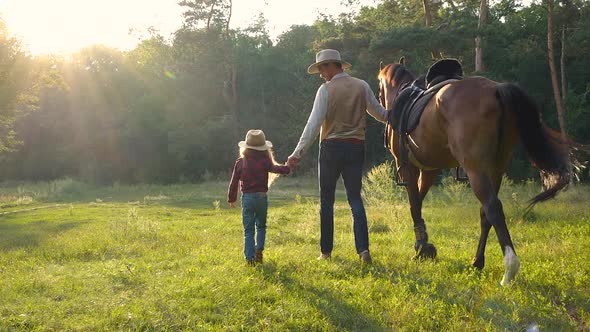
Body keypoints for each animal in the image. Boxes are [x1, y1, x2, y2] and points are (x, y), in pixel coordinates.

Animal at [380, 57, 572, 286]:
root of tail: (496, 89)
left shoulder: (409, 167)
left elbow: (414, 205)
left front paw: (421, 248)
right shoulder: (430, 170)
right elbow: (418, 199)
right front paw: (424, 246)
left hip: (476, 170)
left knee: (493, 208)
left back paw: (509, 269)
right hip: (494, 170)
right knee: (486, 213)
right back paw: (477, 261)